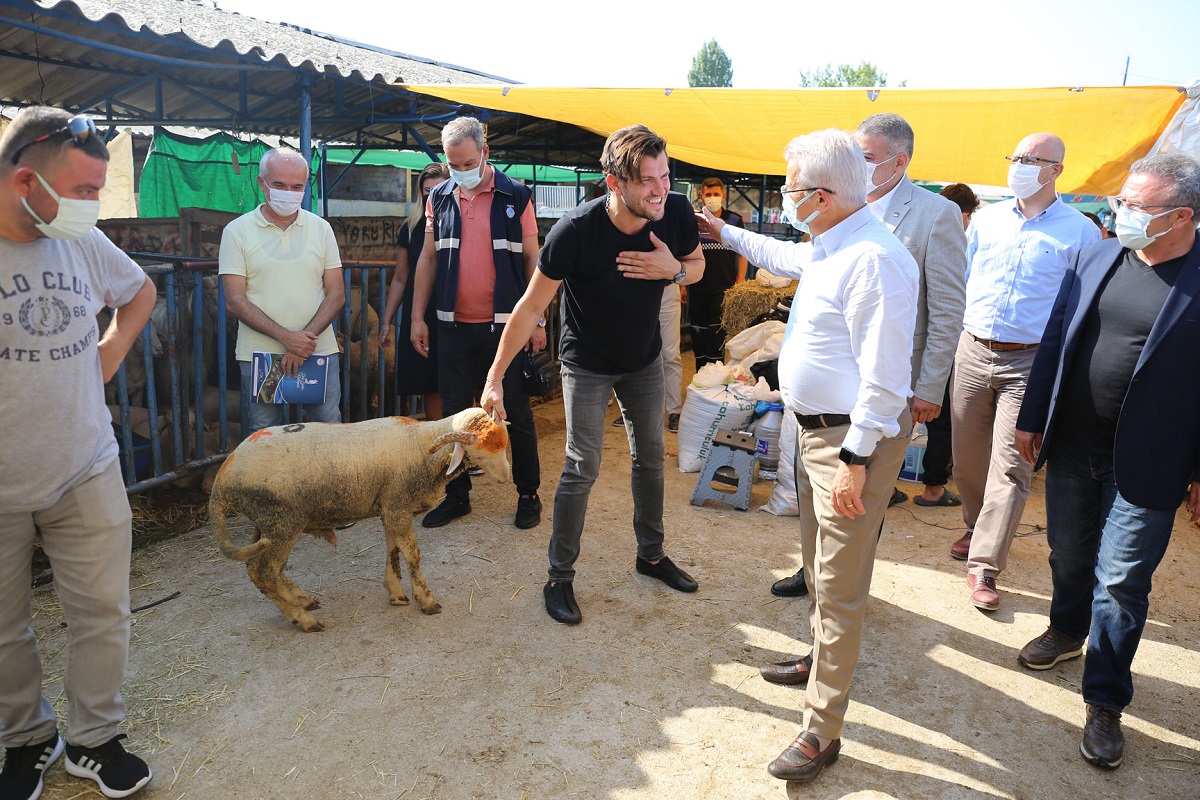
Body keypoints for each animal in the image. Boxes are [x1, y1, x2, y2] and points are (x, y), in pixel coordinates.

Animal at [208, 412, 508, 633]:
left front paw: (396, 593)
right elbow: (412, 554)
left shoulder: (390, 507)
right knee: (264, 571)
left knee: (261, 567)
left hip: (268, 524)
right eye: (479, 454)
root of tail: (222, 476)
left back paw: (302, 600)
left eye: (505, 446)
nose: (507, 478)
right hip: (282, 520)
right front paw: (427, 601)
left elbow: (393, 550)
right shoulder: (397, 506)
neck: (420, 444)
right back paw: (303, 618)